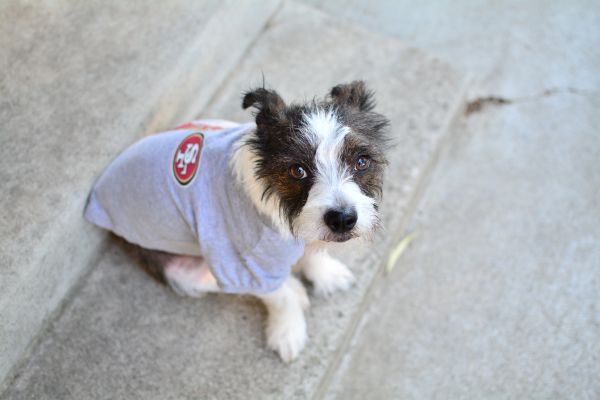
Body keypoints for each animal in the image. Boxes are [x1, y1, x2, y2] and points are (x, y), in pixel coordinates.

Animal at [85, 79, 390, 360]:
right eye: (298, 170)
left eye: (361, 161)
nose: (342, 220)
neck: (279, 209)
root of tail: (99, 194)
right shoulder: (241, 265)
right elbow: (278, 297)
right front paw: (288, 331)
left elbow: (312, 253)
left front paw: (324, 274)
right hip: (183, 270)